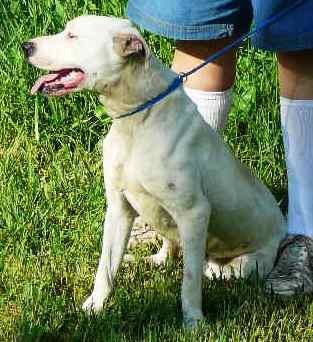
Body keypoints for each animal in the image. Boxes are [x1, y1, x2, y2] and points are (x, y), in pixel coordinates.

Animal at [25, 15, 286, 326]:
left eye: (72, 36)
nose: (26, 46)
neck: (137, 119)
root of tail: (283, 228)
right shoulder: (119, 208)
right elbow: (105, 268)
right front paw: (93, 307)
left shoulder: (194, 212)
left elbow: (189, 281)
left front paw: (194, 323)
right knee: (169, 250)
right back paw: (146, 261)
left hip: (244, 264)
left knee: (207, 269)